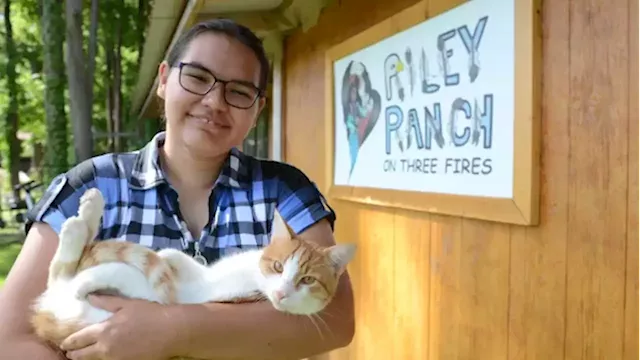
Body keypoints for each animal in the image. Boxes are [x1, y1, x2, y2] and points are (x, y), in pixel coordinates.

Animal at [31, 187, 356, 348]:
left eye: (308, 280)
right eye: (278, 266)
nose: (281, 292)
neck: (252, 278)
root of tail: (44, 316)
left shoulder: (182, 295)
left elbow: (130, 275)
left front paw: (88, 281)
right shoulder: (204, 274)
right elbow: (174, 258)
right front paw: (168, 255)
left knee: (64, 274)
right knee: (61, 268)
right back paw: (86, 212)